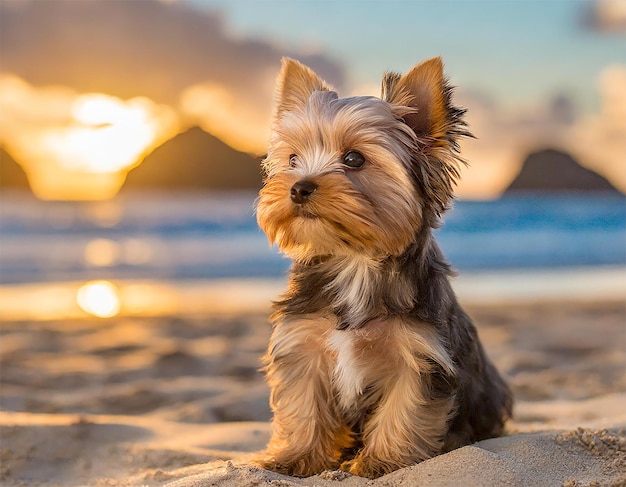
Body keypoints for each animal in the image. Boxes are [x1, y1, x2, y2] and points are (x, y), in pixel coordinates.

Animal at [254, 55, 512, 478]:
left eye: (353, 159)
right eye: (292, 160)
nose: (298, 186)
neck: (355, 260)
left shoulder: (420, 355)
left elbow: (406, 408)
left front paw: (382, 461)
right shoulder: (302, 343)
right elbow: (303, 403)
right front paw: (297, 456)